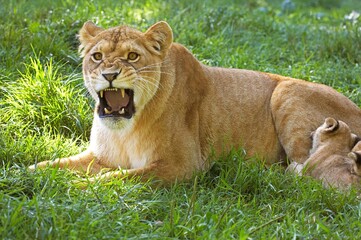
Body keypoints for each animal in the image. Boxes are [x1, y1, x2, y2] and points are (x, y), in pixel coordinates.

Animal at [29, 21, 360, 184]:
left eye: (132, 56)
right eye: (96, 56)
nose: (109, 74)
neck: (125, 129)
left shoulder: (181, 166)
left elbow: (118, 179)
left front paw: (77, 189)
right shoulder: (100, 156)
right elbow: (50, 165)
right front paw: (24, 175)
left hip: (286, 91)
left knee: (307, 169)